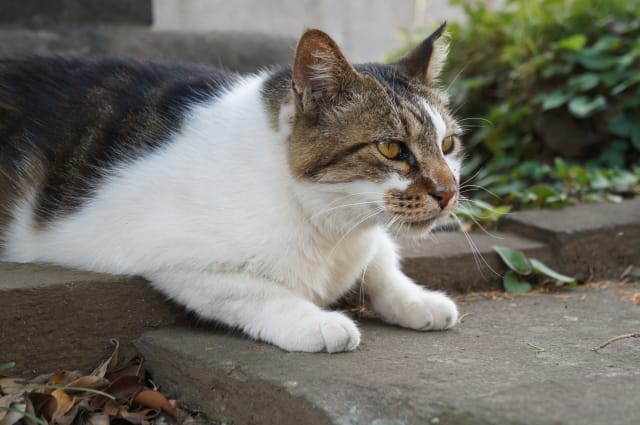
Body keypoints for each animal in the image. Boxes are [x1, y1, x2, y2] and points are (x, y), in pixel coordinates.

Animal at [0, 24, 460, 352]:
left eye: (448, 145)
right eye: (391, 148)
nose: (448, 192)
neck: (329, 226)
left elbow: (381, 259)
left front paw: (418, 300)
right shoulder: (170, 255)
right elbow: (254, 290)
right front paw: (317, 322)